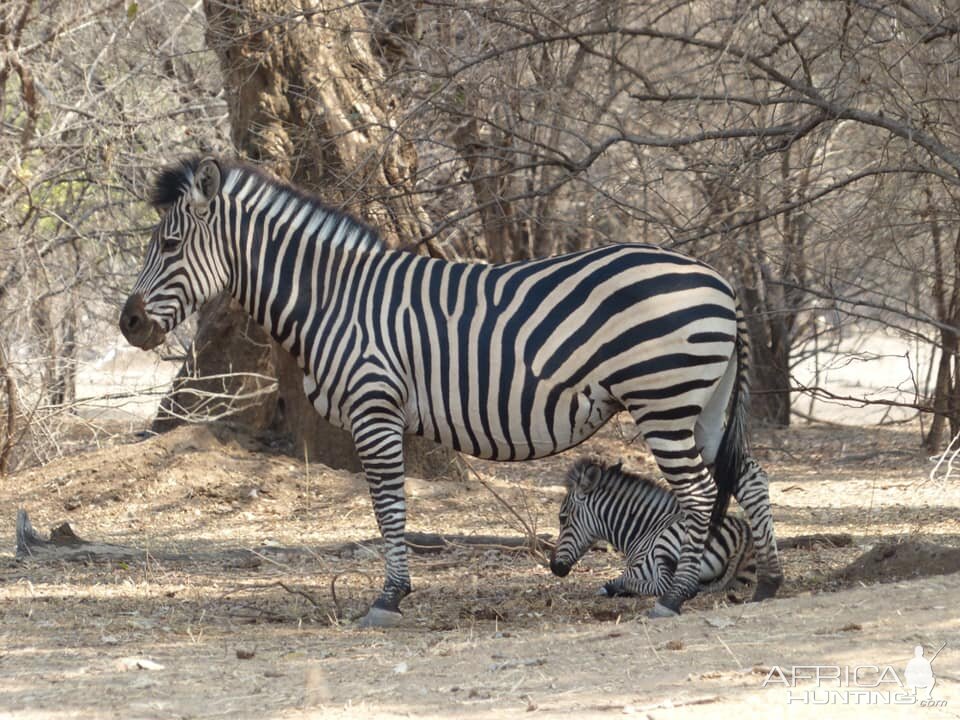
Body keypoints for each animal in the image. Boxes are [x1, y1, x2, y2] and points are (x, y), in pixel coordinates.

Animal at [548, 458, 756, 600]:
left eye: (562, 518)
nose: (554, 568)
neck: (644, 529)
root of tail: (741, 534)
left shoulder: (641, 566)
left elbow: (621, 579)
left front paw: (614, 587)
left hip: (667, 544)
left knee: (665, 586)